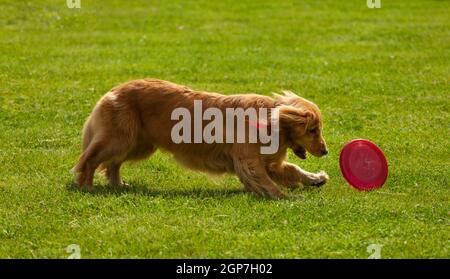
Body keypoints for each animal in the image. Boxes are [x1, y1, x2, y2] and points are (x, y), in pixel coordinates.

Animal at [72, 79, 328, 199]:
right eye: (313, 130)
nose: (325, 151)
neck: (270, 120)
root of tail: (114, 90)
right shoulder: (248, 160)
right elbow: (265, 182)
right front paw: (285, 197)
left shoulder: (268, 163)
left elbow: (292, 170)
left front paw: (315, 178)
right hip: (120, 139)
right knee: (90, 159)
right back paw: (86, 186)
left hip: (138, 144)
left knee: (112, 164)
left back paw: (118, 184)